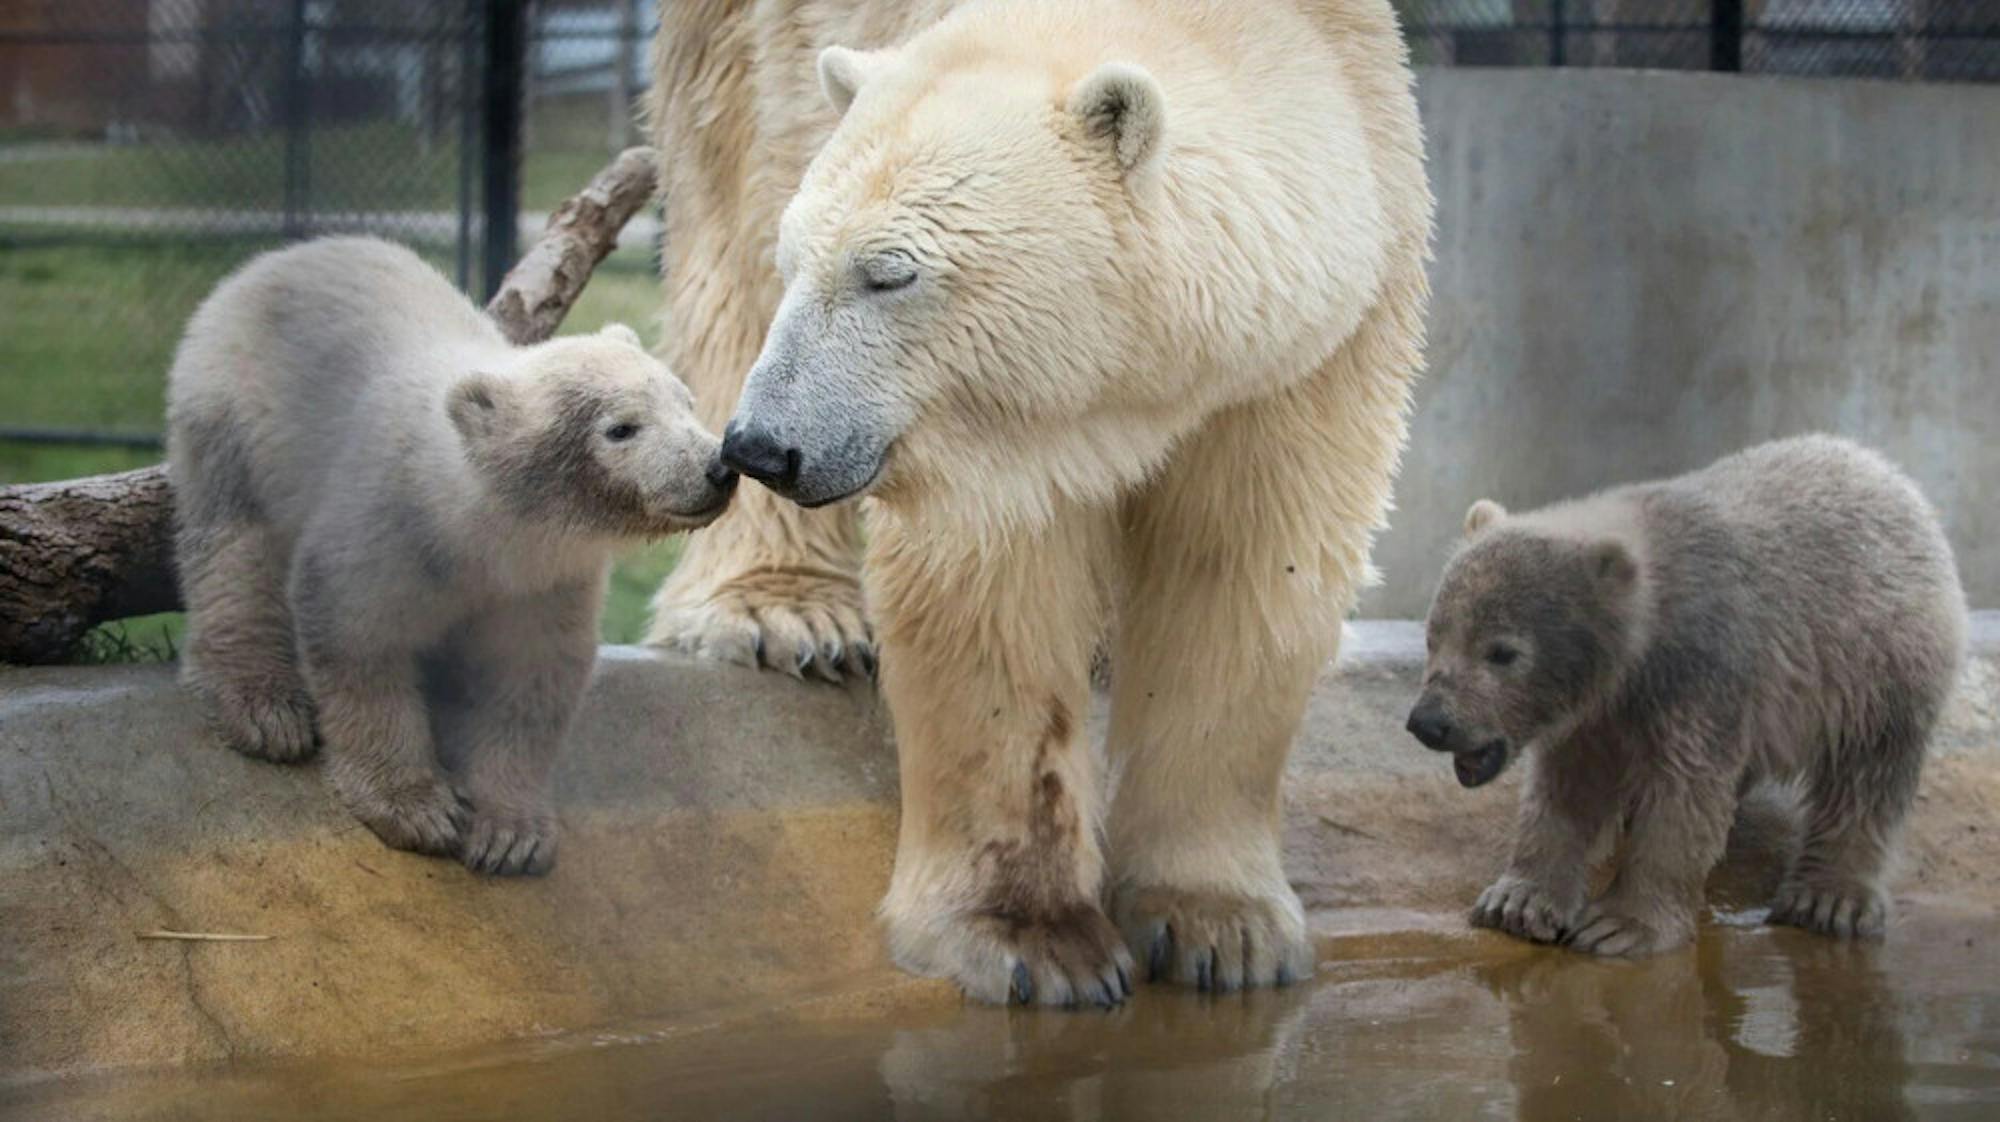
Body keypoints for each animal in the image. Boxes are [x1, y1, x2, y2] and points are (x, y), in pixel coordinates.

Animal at [648, 0, 1432, 996]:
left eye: (890, 272)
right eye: (805, 264)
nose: (763, 446)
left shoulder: (1326, 326)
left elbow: (1249, 566)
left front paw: (1223, 927)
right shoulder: (981, 431)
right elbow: (994, 589)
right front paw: (1031, 935)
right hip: (730, 59)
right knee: (729, 240)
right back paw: (783, 609)